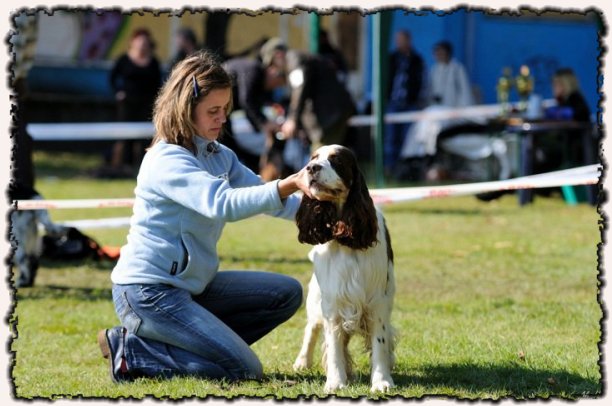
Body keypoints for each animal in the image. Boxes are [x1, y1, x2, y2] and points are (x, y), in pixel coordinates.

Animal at [293, 144, 396, 393]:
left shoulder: (376, 301)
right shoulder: (333, 300)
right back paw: (302, 361)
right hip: (316, 297)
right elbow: (333, 345)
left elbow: (379, 341)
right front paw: (335, 382)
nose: (311, 168)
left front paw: (382, 381)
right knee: (312, 328)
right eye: (313, 158)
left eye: (337, 160)